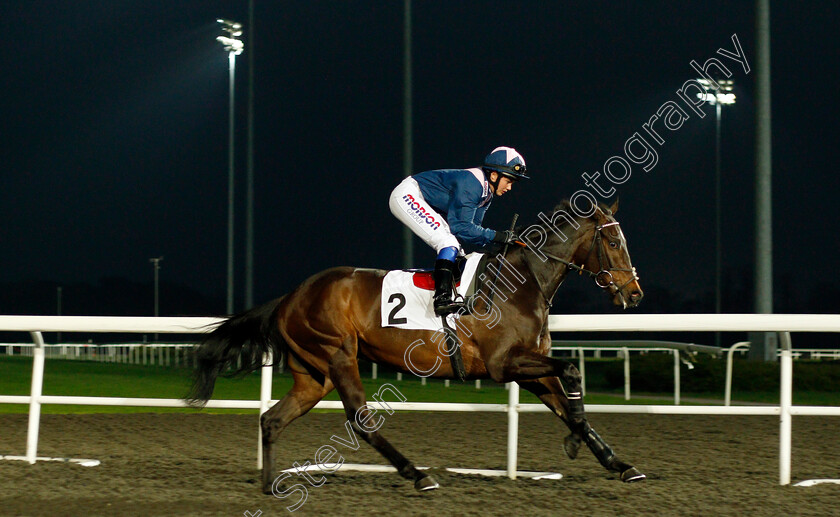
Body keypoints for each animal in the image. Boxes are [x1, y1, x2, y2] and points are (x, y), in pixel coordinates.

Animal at [189, 199, 644, 492]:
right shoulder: (505, 363)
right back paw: (418, 474)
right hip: (339, 355)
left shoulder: (527, 367)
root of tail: (289, 297)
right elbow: (571, 372)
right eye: (614, 242)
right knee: (361, 419)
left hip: (313, 375)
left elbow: (567, 403)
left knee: (272, 420)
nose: (634, 293)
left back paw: (270, 484)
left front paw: (618, 463)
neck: (524, 282)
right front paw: (576, 444)